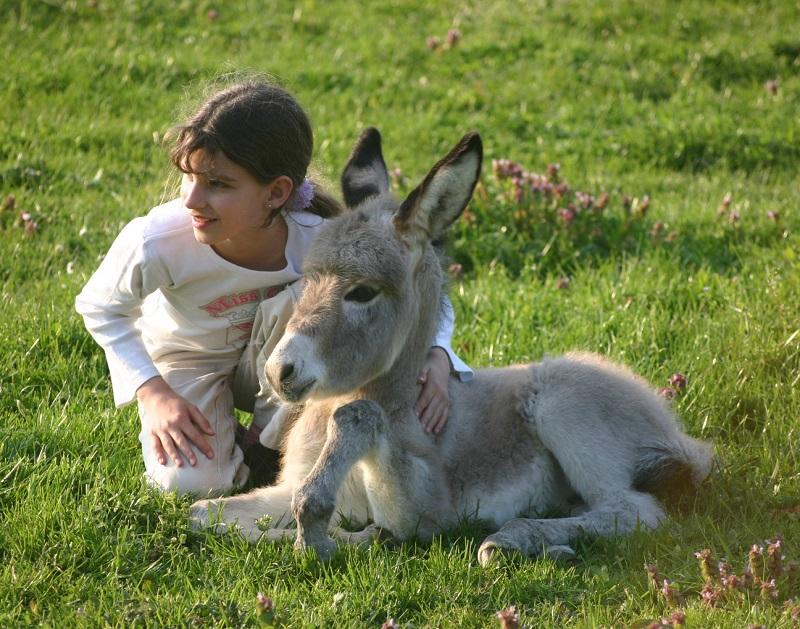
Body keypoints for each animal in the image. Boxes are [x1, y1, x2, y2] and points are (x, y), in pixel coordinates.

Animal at [192, 127, 712, 564]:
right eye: (306, 279)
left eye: (364, 292)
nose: (279, 372)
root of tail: (674, 426)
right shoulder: (281, 489)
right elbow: (204, 516)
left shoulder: (423, 513)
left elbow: (362, 454)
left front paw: (336, 535)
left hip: (565, 412)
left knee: (633, 509)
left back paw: (514, 539)